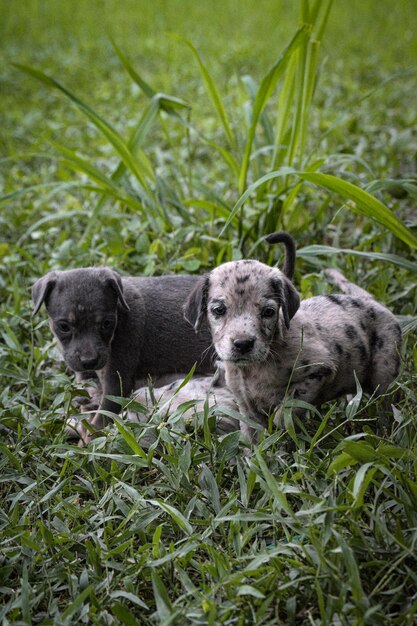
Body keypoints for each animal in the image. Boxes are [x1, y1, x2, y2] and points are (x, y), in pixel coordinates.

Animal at [32, 266, 214, 442]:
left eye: (107, 323)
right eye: (63, 326)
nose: (89, 361)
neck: (120, 312)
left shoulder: (117, 384)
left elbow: (99, 421)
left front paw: (87, 443)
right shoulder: (84, 377)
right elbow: (87, 410)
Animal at [184, 232, 402, 442]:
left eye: (268, 312)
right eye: (219, 310)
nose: (243, 344)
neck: (256, 367)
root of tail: (372, 302)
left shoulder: (319, 370)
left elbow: (289, 405)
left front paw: (283, 427)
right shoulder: (246, 406)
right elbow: (251, 439)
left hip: (384, 375)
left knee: (387, 407)